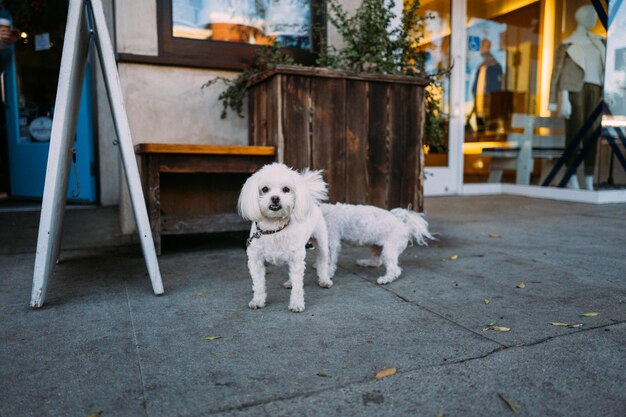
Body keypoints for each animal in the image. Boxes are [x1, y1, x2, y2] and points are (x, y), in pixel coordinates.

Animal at [236, 162, 332, 312]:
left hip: (321, 242)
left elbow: (298, 286)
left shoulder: (297, 258)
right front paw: (258, 300)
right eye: (265, 189)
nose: (275, 198)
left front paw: (296, 304)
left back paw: (324, 280)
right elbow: (258, 284)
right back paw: (289, 282)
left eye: (286, 189)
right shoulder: (255, 260)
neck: (274, 228)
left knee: (322, 262)